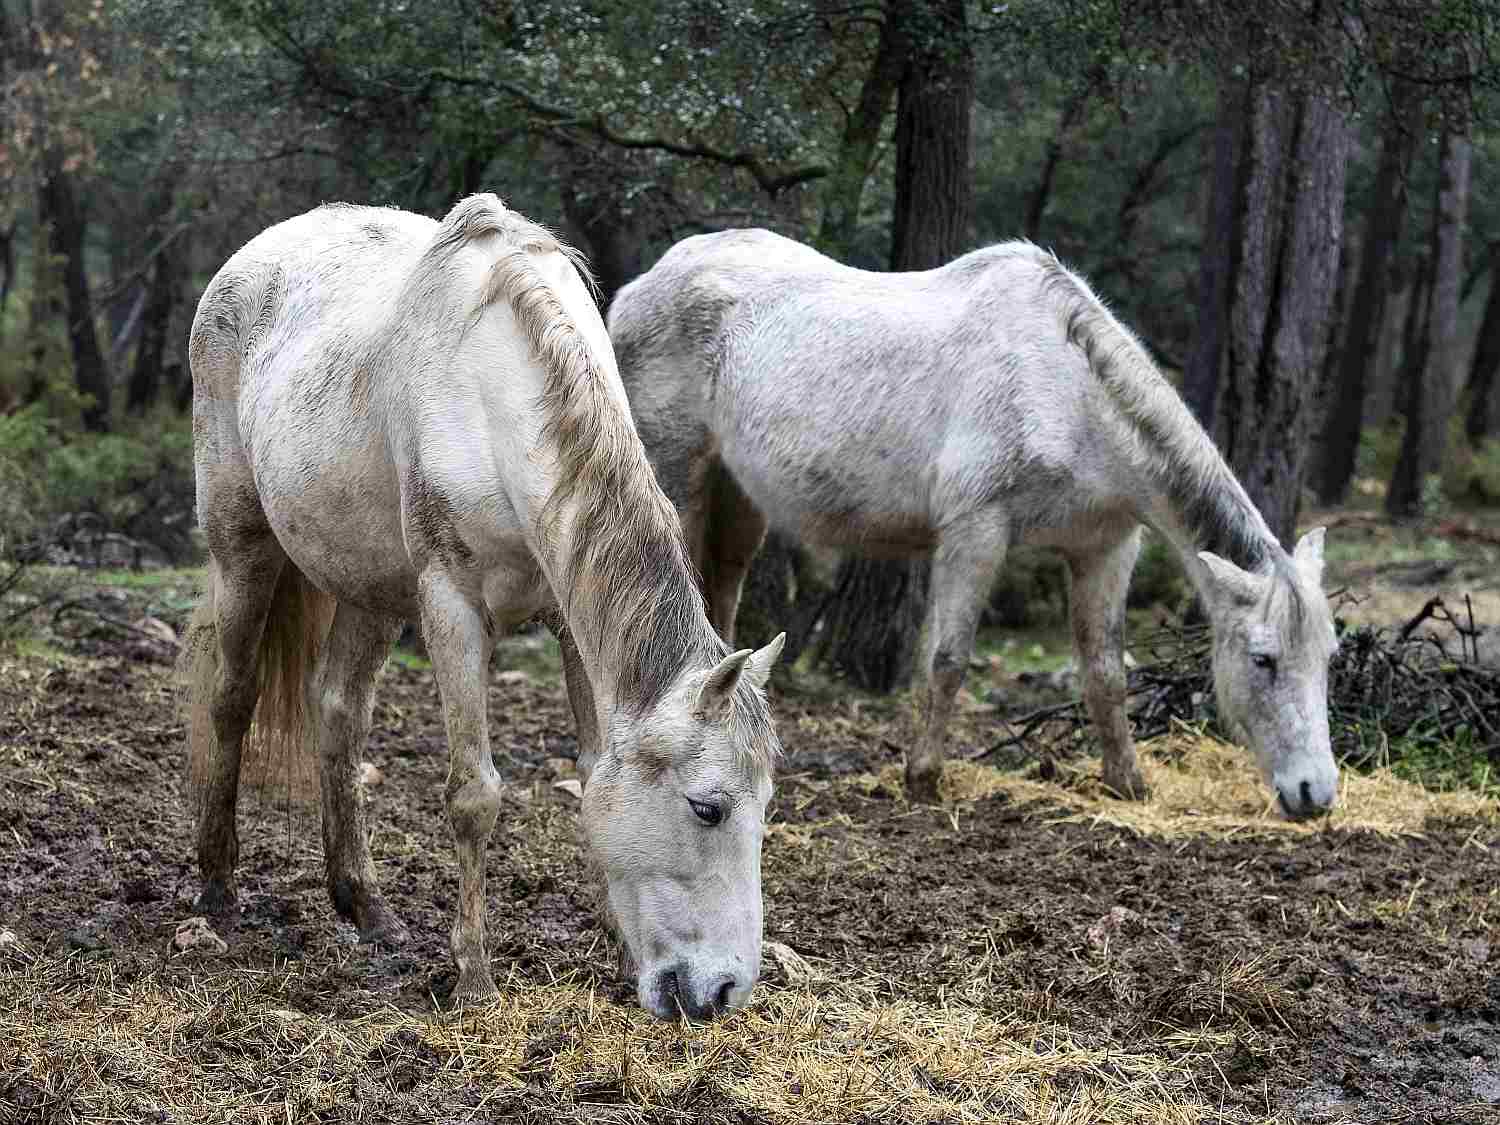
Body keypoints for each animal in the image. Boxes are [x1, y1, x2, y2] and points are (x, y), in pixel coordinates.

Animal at [184, 196, 786, 1020]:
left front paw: (618, 951)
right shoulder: (452, 609)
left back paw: (364, 906)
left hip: (372, 588)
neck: (498, 397)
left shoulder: (570, 618)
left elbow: (592, 767)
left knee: (337, 710)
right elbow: (474, 793)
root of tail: (250, 259)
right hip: (241, 545)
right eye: (707, 808)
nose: (723, 991)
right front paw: (473, 976)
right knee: (231, 699)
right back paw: (217, 887)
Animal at [603, 231, 1344, 822]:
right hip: (676, 472)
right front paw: (924, 777)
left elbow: (1105, 670)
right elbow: (950, 657)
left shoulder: (1106, 547)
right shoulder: (976, 531)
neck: (1067, 391)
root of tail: (639, 287)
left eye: (1329, 659)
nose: (1315, 794)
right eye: (1264, 659)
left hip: (738, 496)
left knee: (721, 591)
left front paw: (1127, 781)